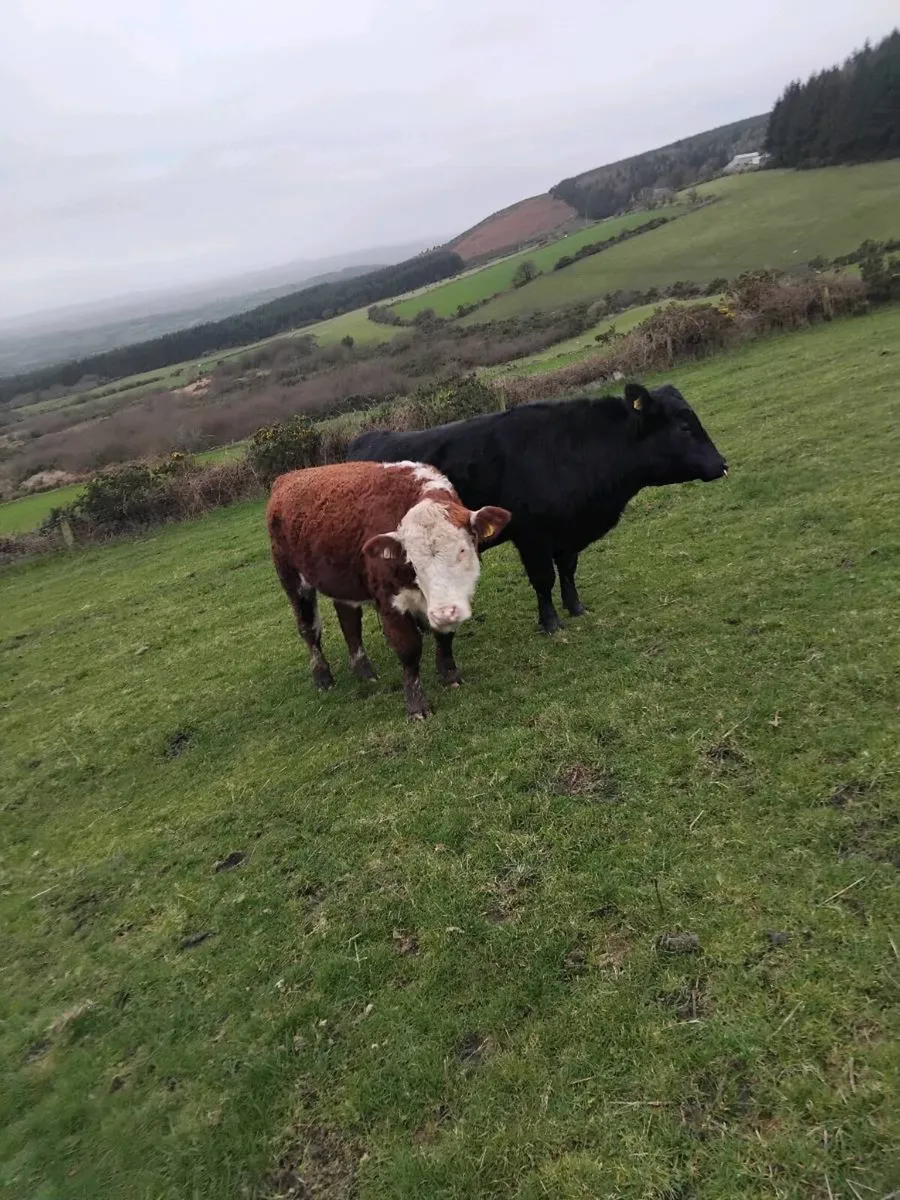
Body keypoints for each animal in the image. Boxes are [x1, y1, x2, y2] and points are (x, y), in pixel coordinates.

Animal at [266, 460, 511, 719]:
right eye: (412, 560)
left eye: (463, 549)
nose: (444, 612)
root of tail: (287, 476)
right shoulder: (390, 601)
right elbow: (409, 648)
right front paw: (416, 706)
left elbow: (445, 635)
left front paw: (449, 675)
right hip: (293, 580)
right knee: (309, 629)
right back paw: (322, 676)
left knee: (349, 622)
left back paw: (363, 670)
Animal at [348, 382, 728, 637]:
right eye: (684, 426)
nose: (722, 464)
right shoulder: (531, 536)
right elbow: (543, 578)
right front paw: (550, 622)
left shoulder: (567, 532)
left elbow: (569, 570)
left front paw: (575, 607)